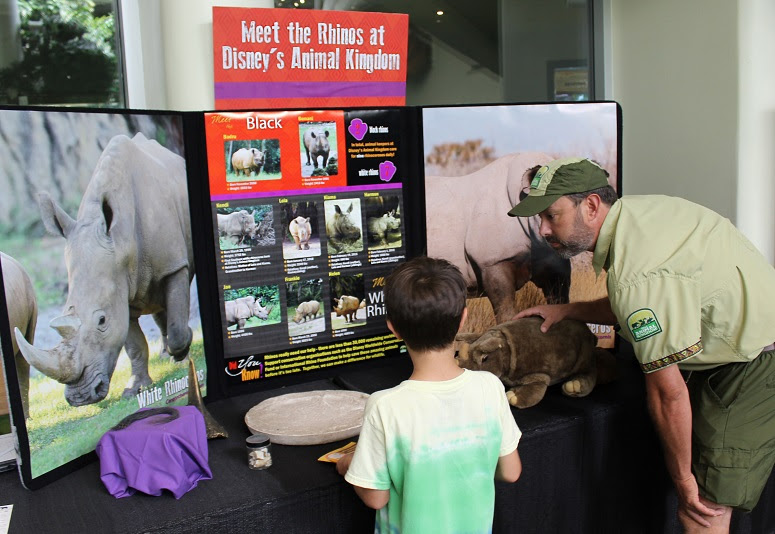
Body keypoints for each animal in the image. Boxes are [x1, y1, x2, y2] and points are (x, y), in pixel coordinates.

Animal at [15, 133, 194, 407]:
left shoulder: (174, 265)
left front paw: (184, 348)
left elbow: (176, 327)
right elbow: (134, 345)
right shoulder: (120, 288)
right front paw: (135, 389)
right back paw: (165, 356)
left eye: (101, 321)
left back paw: (176, 356)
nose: (80, 397)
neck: (123, 242)